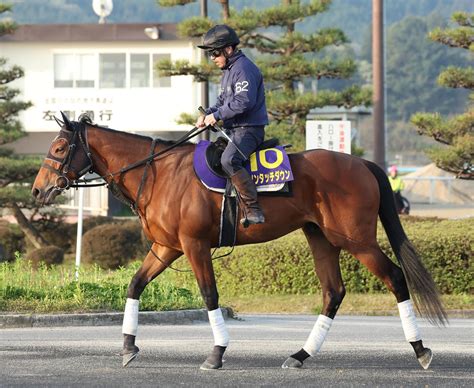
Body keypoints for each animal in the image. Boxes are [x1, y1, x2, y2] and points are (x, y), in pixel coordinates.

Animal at [31, 112, 446, 370]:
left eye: (58, 149)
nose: (37, 190)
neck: (160, 172)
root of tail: (361, 163)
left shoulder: (194, 246)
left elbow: (209, 295)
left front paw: (217, 352)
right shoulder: (166, 248)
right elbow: (134, 285)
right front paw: (128, 346)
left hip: (356, 240)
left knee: (395, 277)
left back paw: (421, 349)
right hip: (322, 238)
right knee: (333, 292)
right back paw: (301, 354)